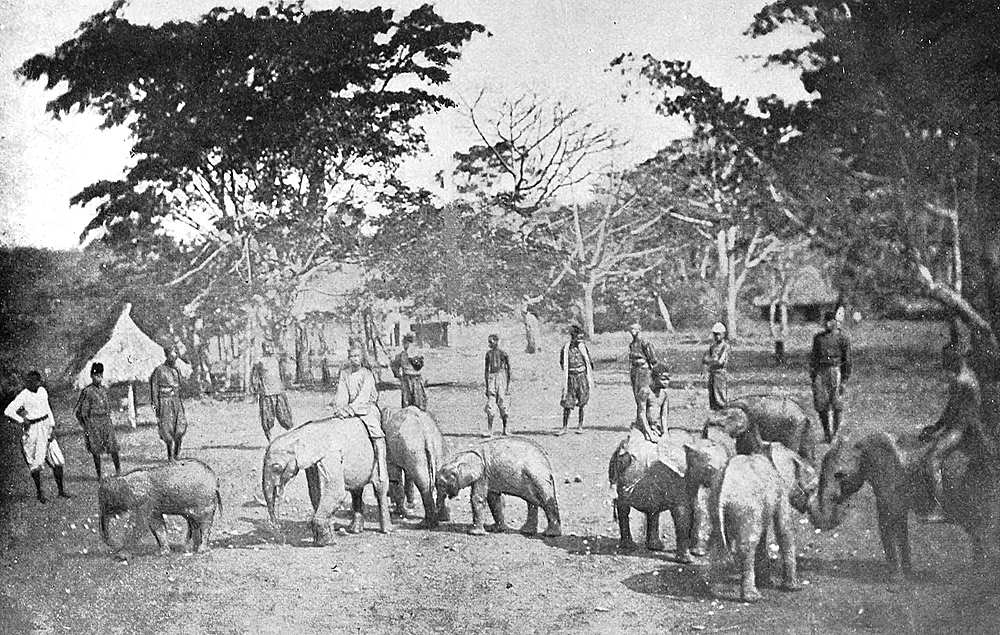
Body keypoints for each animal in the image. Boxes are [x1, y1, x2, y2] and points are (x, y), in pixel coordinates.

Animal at [262, 418, 390, 548]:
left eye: (276, 467)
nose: (280, 537)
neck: (299, 434)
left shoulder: (331, 456)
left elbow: (337, 492)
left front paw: (326, 543)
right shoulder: (312, 464)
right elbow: (315, 491)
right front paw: (325, 540)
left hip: (380, 454)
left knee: (380, 487)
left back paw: (386, 530)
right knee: (356, 490)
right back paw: (354, 530)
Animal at [604, 428, 740, 560]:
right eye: (709, 468)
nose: (701, 554)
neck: (693, 442)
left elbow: (694, 507)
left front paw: (695, 553)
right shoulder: (675, 476)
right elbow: (682, 512)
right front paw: (688, 560)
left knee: (653, 509)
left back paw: (655, 547)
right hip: (619, 473)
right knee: (624, 507)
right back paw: (629, 547)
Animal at [708, 442, 816, 600]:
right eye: (813, 489)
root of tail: (724, 490)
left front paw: (767, 583)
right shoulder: (780, 489)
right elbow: (784, 528)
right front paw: (793, 588)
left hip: (715, 504)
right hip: (745, 505)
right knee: (748, 544)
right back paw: (752, 597)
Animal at [808, 430, 996, 580]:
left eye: (839, 475)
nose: (843, 505)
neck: (860, 444)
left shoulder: (889, 482)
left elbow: (886, 522)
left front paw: (895, 581)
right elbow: (900, 525)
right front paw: (908, 575)